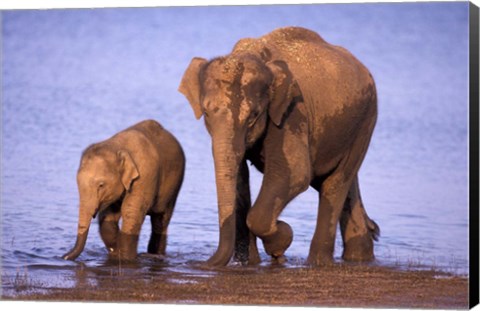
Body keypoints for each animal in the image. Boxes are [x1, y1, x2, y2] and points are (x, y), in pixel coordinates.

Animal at [62, 120, 186, 262]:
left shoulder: (145, 176)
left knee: (161, 221)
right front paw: (116, 253)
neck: (117, 147)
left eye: (101, 185)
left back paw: (156, 254)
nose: (64, 257)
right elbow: (108, 217)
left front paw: (126, 259)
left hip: (174, 186)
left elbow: (131, 212)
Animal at [180, 25, 378, 266]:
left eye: (254, 116)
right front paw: (250, 262)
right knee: (341, 181)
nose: (199, 264)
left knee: (335, 182)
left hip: (366, 120)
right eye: (207, 113)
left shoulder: (292, 111)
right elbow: (240, 179)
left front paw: (281, 241)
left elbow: (296, 173)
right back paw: (360, 255)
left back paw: (317, 262)